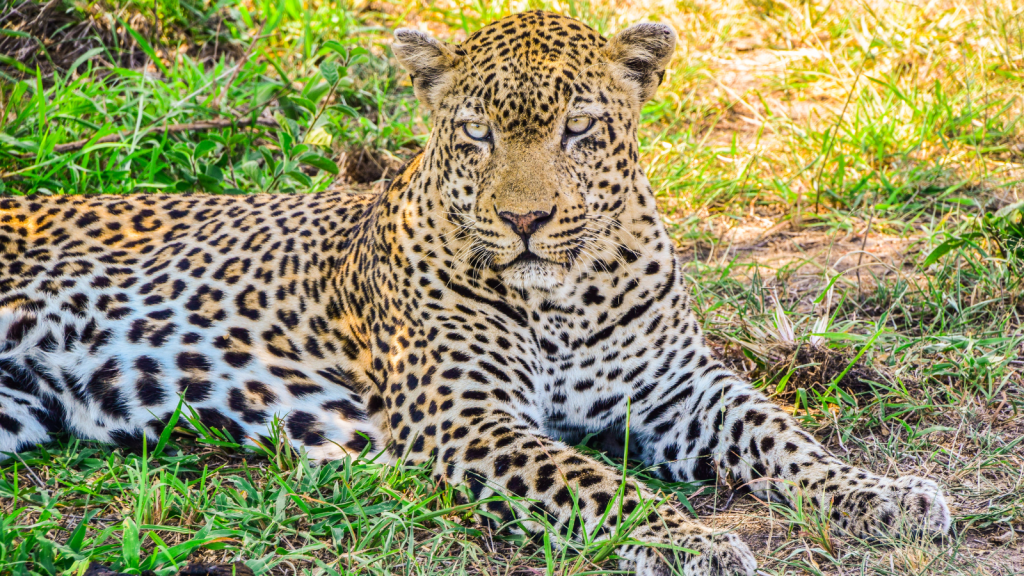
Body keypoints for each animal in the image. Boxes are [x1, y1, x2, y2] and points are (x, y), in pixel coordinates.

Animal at [2, 10, 950, 573]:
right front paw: (693, 542)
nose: (526, 219)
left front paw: (887, 495)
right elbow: (592, 482)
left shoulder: (679, 386)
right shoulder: (468, 419)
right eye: (476, 132)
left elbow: (782, 436)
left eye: (580, 128)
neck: (569, 296)